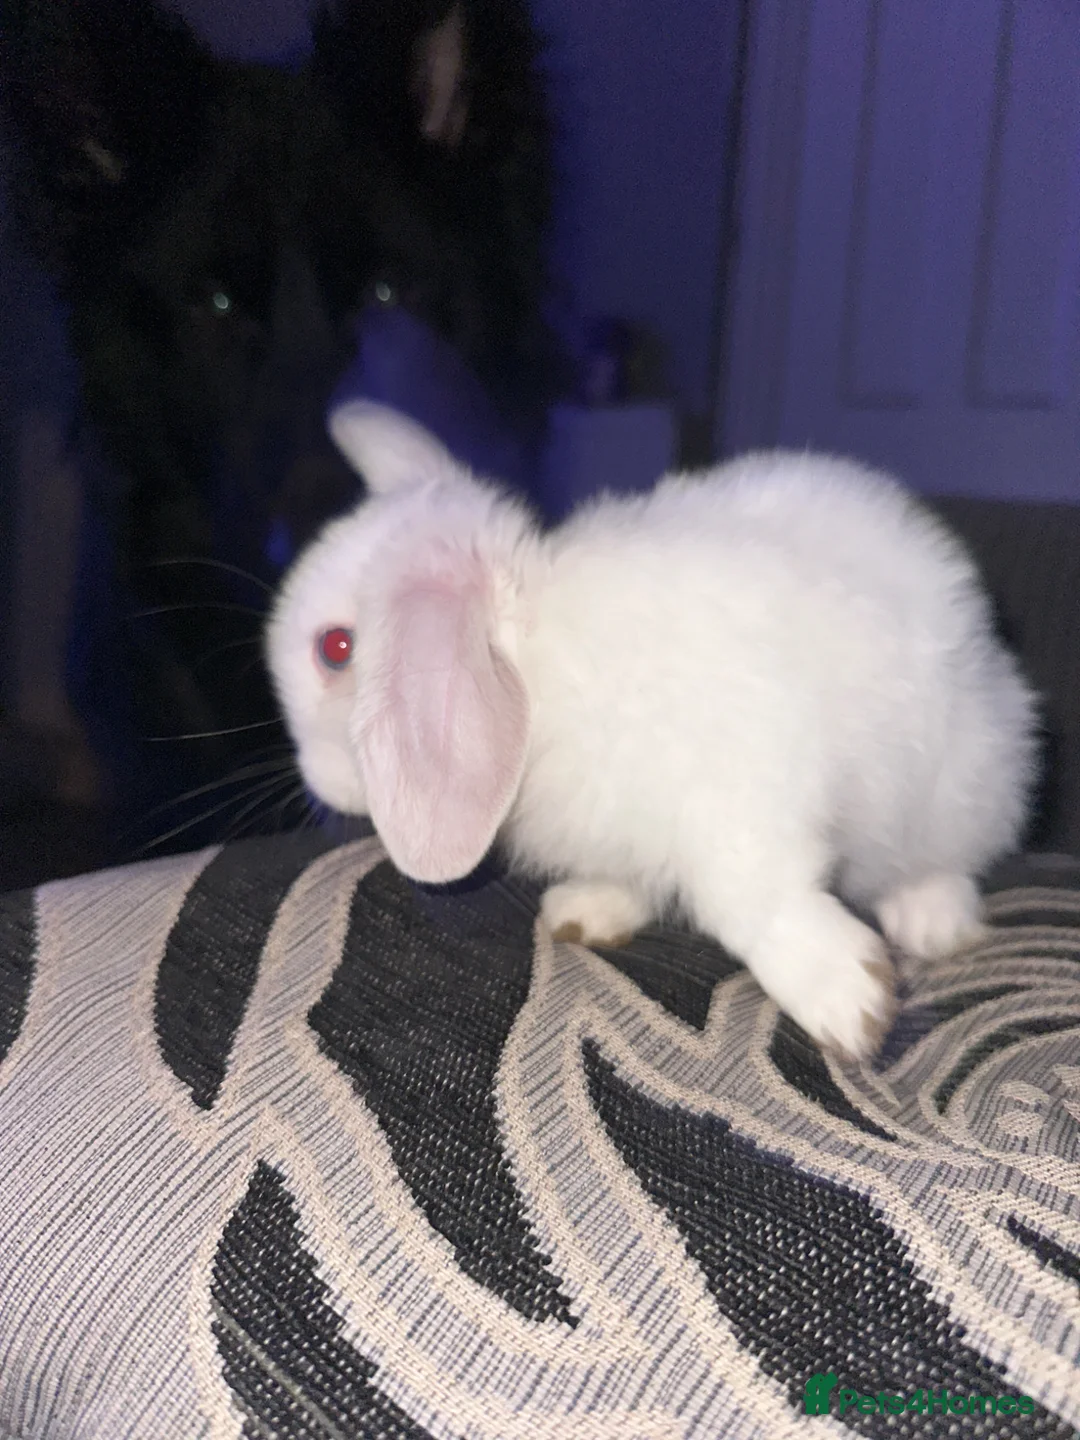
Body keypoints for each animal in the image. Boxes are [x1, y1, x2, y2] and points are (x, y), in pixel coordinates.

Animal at [266, 401, 1038, 1060]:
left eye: (335, 648)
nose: (316, 781)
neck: (537, 666)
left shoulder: (747, 797)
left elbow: (752, 900)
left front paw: (852, 1002)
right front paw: (585, 910)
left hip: (962, 781)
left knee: (947, 859)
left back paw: (931, 922)